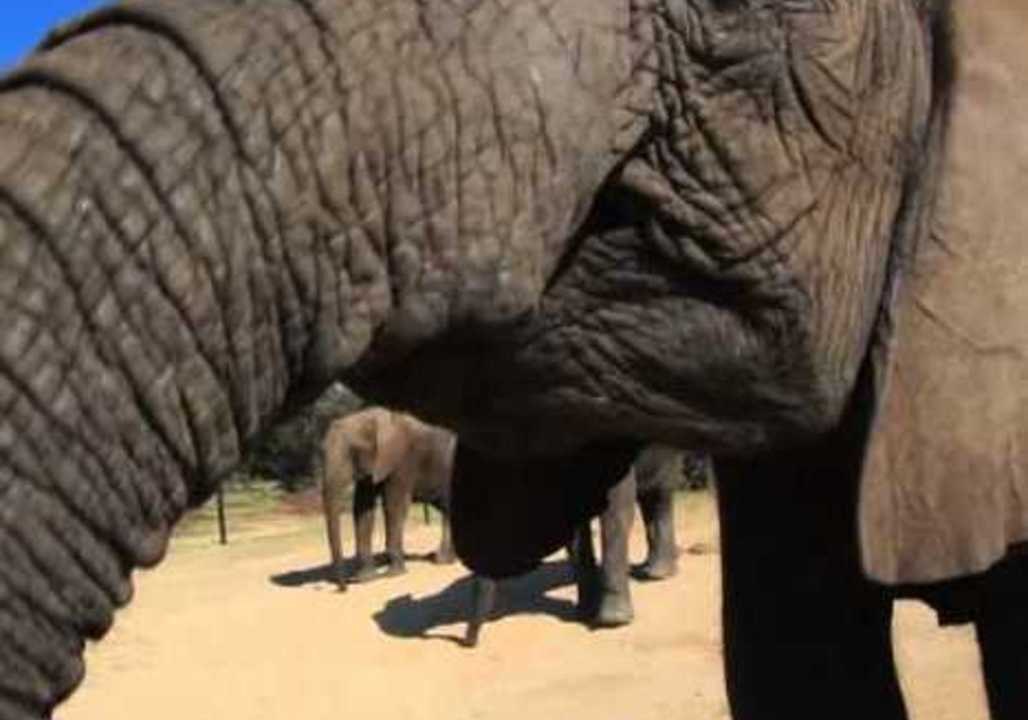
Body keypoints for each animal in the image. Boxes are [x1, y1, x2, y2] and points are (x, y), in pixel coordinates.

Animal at [320, 407, 456, 590]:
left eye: (353, 451)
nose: (344, 588)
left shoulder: (402, 462)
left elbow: (394, 505)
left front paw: (394, 574)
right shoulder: (374, 466)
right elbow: (363, 509)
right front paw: (366, 579)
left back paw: (444, 560)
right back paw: (443, 558)